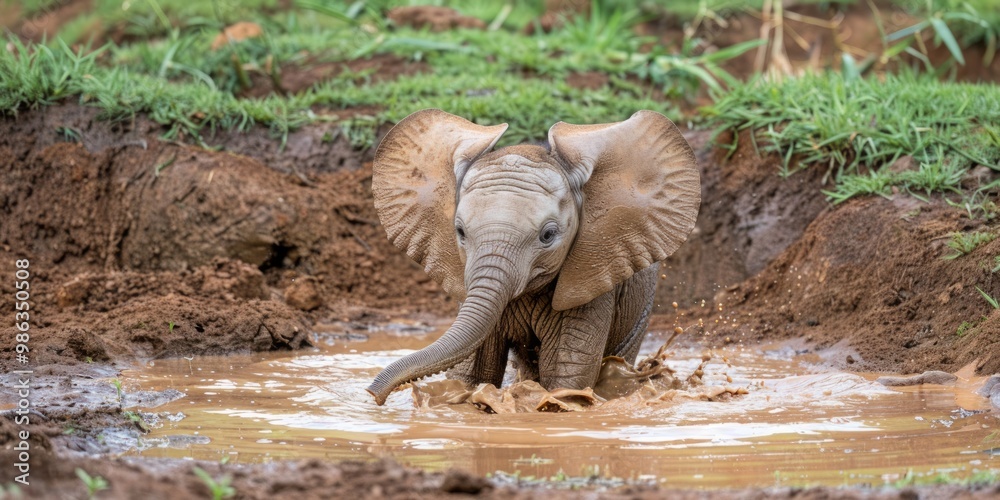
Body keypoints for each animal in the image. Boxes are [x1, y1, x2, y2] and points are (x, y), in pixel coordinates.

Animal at [365, 109, 700, 405]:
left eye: (548, 235)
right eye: (459, 231)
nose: (373, 394)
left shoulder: (591, 276)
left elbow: (564, 377)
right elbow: (474, 372)